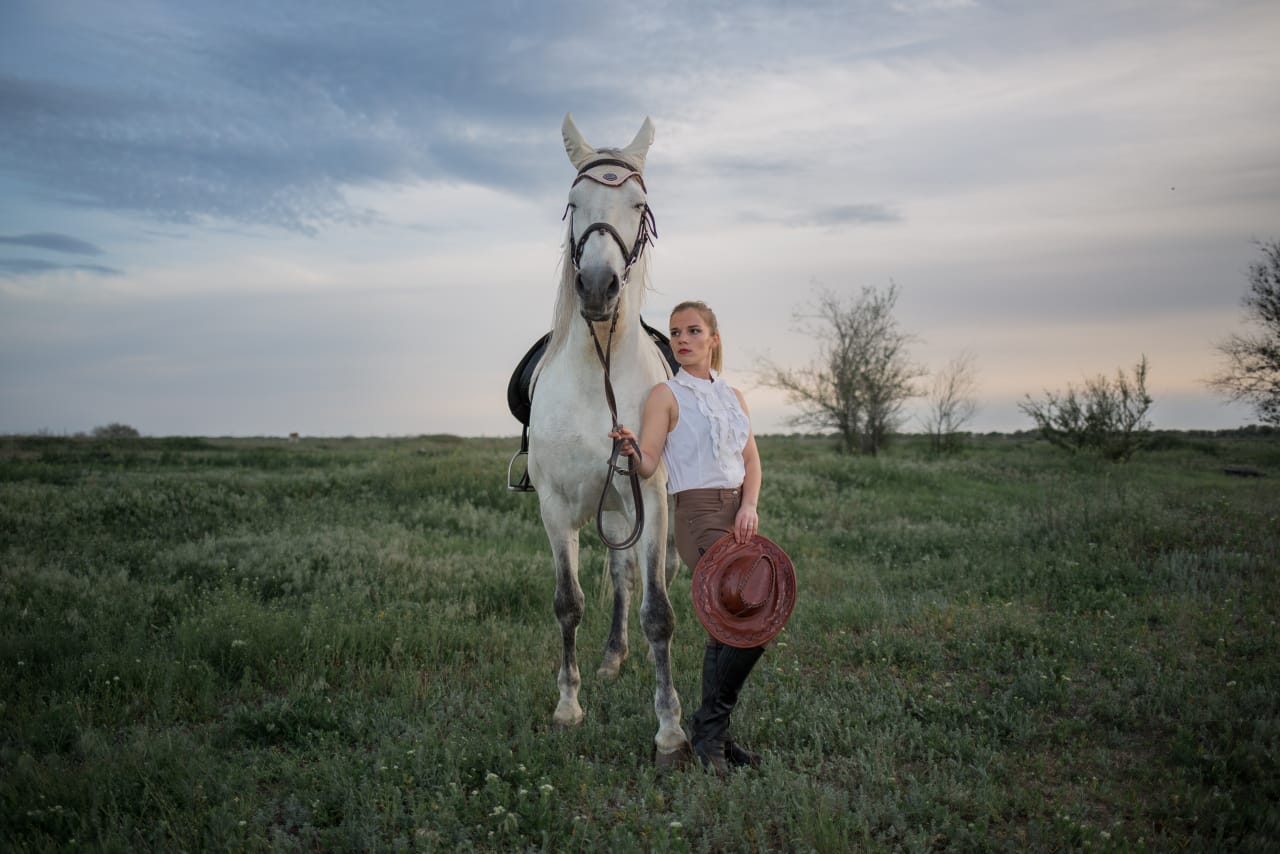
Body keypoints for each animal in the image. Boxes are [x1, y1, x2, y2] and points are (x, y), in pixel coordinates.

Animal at [524, 115, 691, 768]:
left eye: (638, 205)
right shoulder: (556, 508)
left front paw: (670, 728)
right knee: (618, 572)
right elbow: (568, 602)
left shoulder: (650, 493)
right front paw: (568, 705)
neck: (600, 372)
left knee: (637, 574)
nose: (597, 285)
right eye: (574, 204)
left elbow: (658, 612)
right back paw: (612, 658)